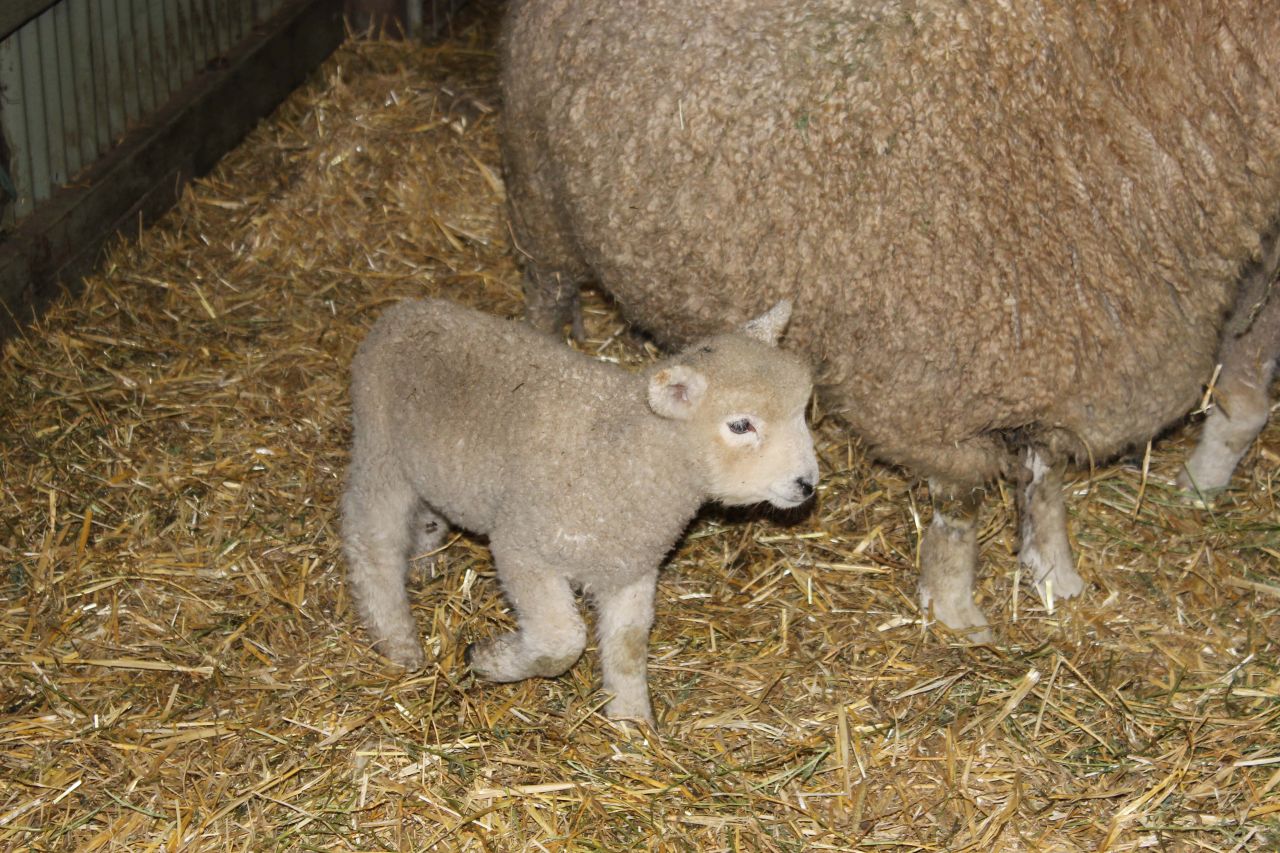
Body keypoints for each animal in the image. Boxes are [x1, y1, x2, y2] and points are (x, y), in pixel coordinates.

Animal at [341, 297, 818, 723]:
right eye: (740, 425)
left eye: (803, 411)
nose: (807, 484)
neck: (622, 452)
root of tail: (403, 310)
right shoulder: (522, 549)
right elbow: (562, 642)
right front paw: (489, 658)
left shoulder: (631, 569)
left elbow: (628, 647)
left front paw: (632, 725)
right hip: (381, 451)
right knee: (370, 542)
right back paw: (397, 640)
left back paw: (425, 558)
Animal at [499, 0, 1280, 640]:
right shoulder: (939, 386)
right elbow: (962, 507)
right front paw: (956, 610)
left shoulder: (1051, 356)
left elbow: (1044, 479)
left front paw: (1056, 575)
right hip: (539, 206)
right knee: (546, 299)